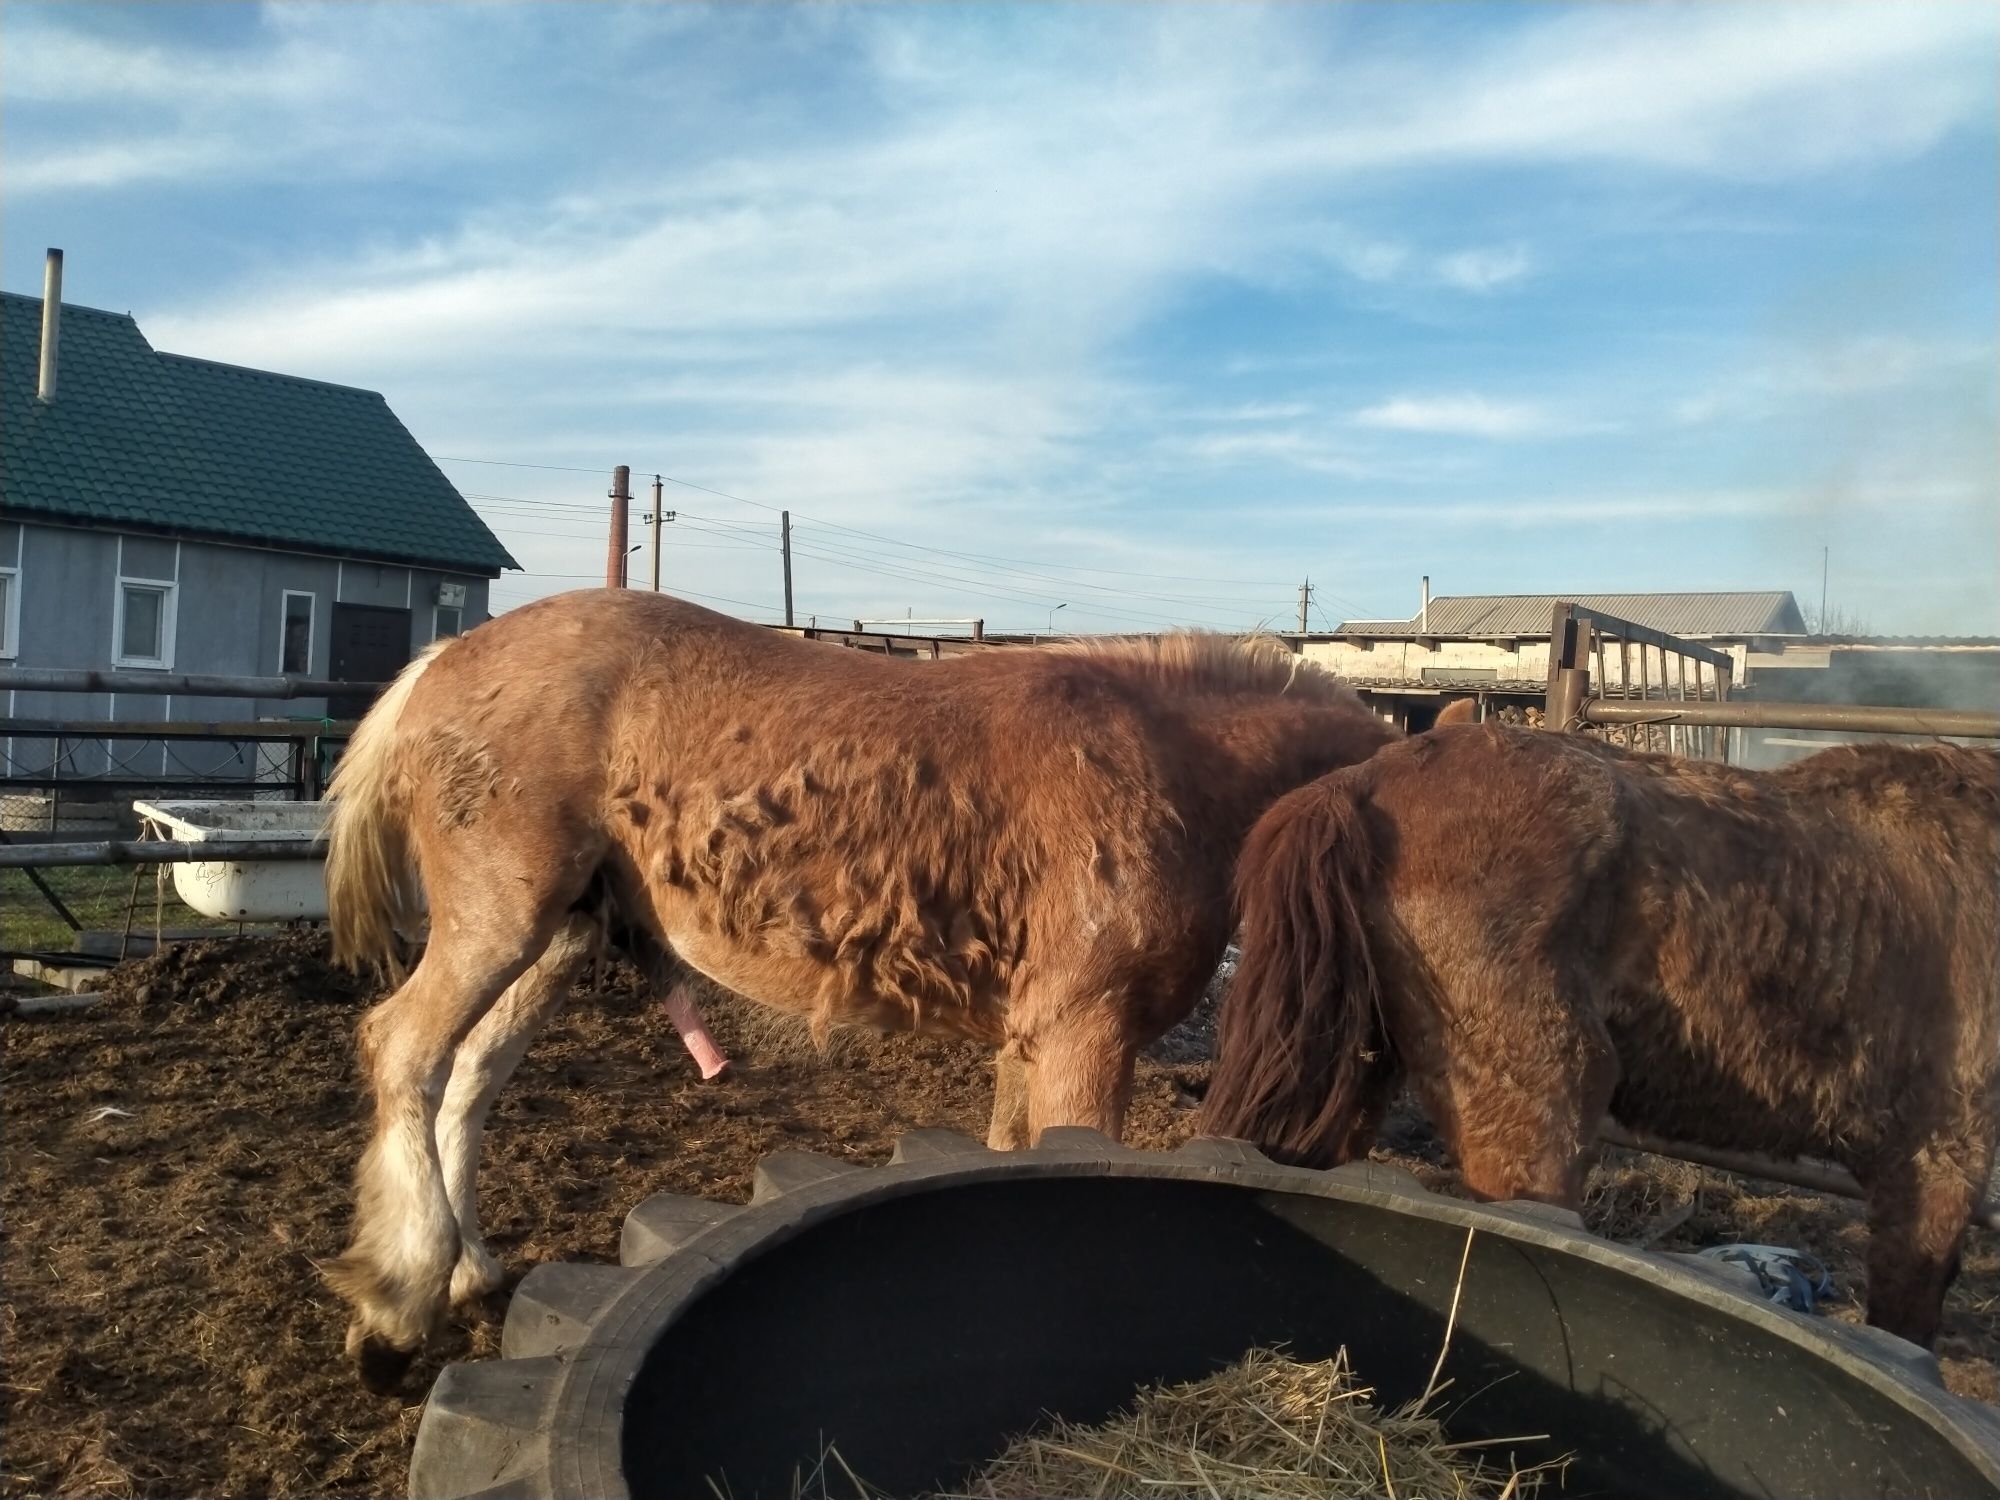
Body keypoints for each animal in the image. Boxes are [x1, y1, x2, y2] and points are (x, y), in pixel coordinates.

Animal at [324, 588, 1392, 1384]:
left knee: (469, 1076)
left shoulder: (1031, 1039)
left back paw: (469, 1270)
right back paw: (400, 1303)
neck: (1164, 767)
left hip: (556, 936)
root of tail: (444, 658)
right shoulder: (1086, 1040)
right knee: (405, 1049)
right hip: (499, 919)